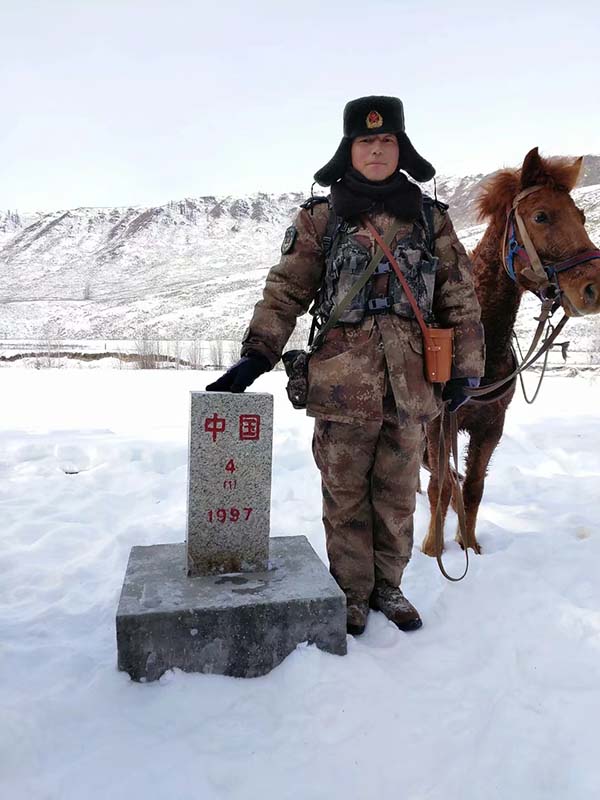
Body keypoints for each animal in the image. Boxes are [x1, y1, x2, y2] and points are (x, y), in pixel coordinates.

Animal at [420, 148, 600, 556]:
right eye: (541, 216)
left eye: (582, 216)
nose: (594, 288)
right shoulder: (440, 425)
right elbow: (440, 487)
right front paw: (432, 549)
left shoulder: (491, 426)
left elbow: (472, 487)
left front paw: (470, 546)